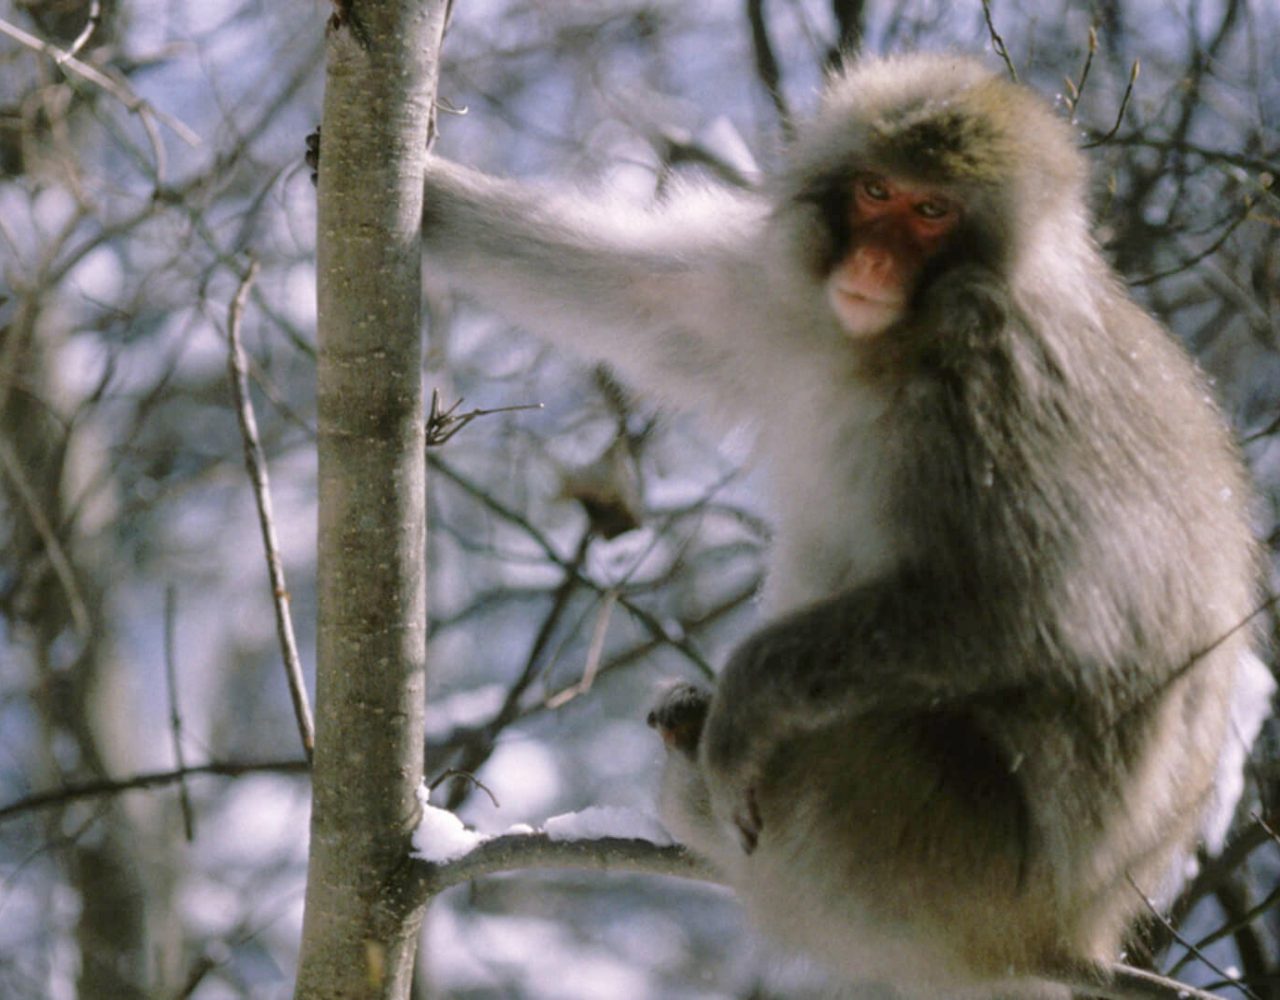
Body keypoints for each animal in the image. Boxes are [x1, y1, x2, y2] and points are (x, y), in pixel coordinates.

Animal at [417, 53, 1273, 998]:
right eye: (875, 191)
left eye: (932, 211)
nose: (874, 259)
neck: (891, 344)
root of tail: (1070, 935)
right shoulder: (787, 306)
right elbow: (645, 295)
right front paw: (429, 196)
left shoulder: (992, 387)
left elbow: (1021, 610)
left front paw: (744, 707)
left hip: (926, 850)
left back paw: (702, 767)